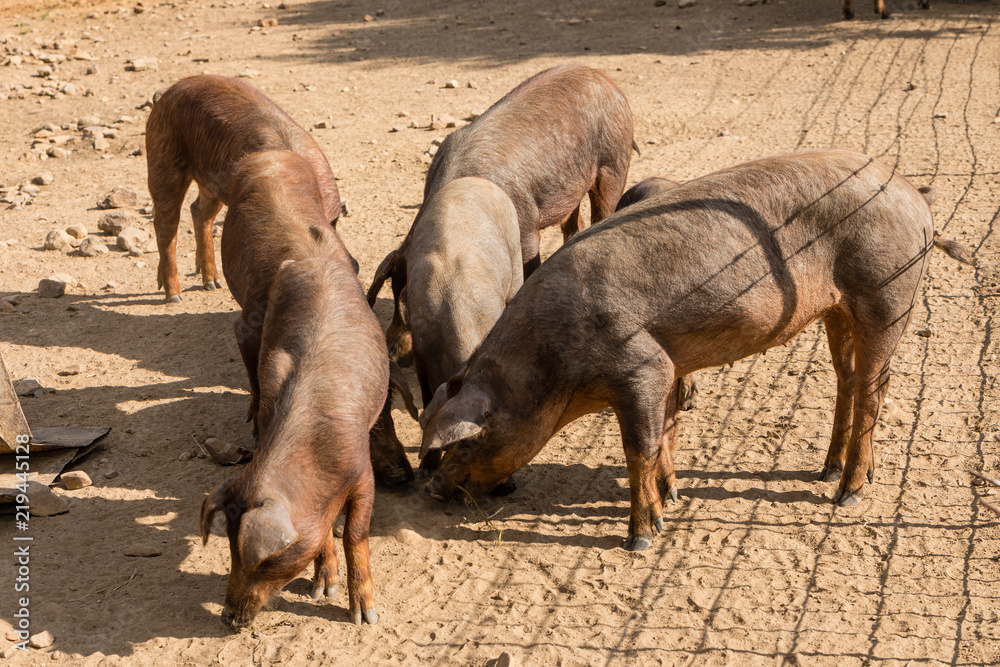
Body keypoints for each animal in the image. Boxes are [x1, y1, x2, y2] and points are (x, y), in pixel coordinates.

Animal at [146, 75, 342, 302]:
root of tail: (165, 93)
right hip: (163, 159)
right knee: (165, 223)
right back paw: (174, 296)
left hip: (212, 181)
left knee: (199, 211)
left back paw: (212, 284)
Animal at [202, 150, 389, 627]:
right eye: (229, 550)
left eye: (265, 561)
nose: (228, 617)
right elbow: (325, 534)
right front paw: (323, 587)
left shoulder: (361, 470)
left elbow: (355, 532)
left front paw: (364, 616)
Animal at [367, 64, 635, 366]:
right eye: (392, 288)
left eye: (412, 309)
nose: (391, 355)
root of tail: (605, 79)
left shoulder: (526, 226)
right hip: (571, 184)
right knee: (572, 223)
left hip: (614, 160)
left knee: (603, 208)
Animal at [420, 149, 974, 552]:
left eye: (464, 444)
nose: (431, 488)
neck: (551, 364)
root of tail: (914, 195)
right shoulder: (666, 364)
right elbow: (666, 430)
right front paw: (673, 495)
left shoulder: (638, 367)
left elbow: (639, 448)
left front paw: (641, 539)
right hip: (837, 307)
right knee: (848, 378)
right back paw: (828, 471)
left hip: (888, 290)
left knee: (876, 385)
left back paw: (848, 495)